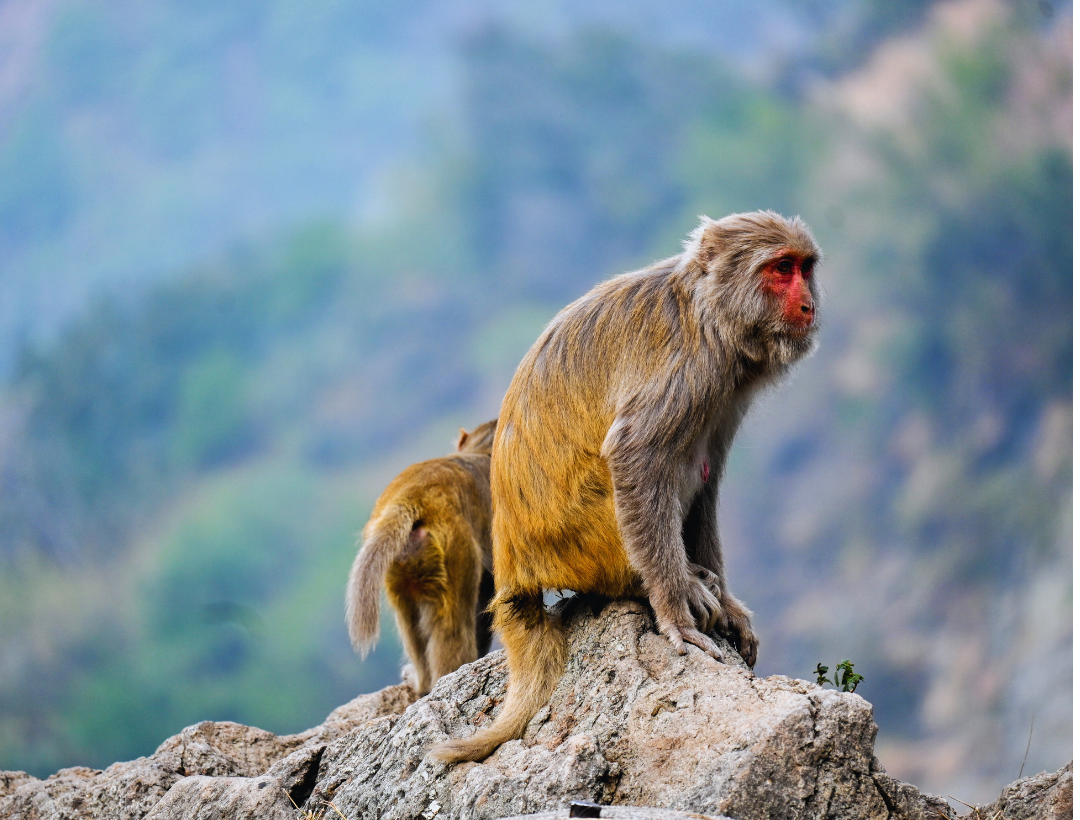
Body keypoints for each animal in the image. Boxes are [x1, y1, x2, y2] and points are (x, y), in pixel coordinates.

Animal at [345, 419, 496, 695]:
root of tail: (414, 495)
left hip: (402, 563)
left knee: (410, 621)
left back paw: (424, 682)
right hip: (455, 549)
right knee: (453, 628)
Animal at [429, 211, 816, 764]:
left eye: (805, 268)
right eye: (781, 269)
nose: (808, 304)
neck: (708, 311)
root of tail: (515, 565)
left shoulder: (725, 388)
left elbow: (709, 480)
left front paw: (730, 604)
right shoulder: (692, 366)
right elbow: (636, 456)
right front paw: (675, 611)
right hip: (589, 544)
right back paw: (661, 584)